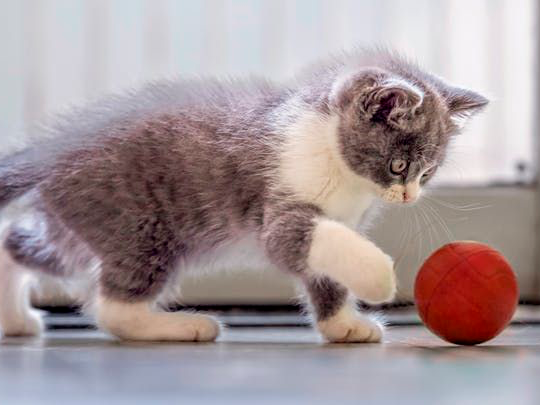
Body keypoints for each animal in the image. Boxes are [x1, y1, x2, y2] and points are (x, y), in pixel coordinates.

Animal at [0, 49, 488, 342]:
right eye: (399, 166)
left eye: (428, 172)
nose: (407, 197)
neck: (334, 158)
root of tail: (55, 149)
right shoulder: (281, 210)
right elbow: (304, 243)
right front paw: (378, 277)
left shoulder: (335, 219)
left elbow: (324, 272)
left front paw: (344, 326)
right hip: (138, 223)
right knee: (113, 308)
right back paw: (181, 326)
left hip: (80, 224)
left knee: (18, 245)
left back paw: (15, 320)